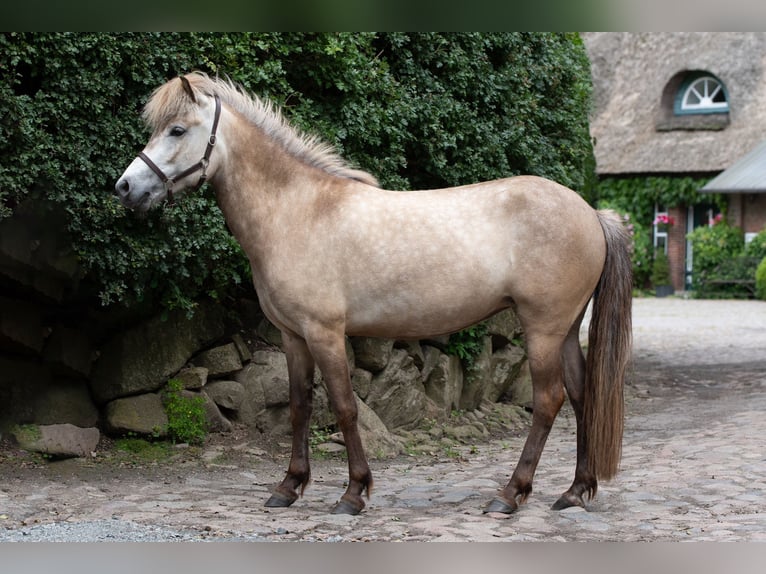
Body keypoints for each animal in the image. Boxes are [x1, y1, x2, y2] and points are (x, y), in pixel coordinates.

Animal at [112, 72, 632, 516]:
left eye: (177, 129)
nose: (125, 188)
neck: (297, 210)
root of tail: (590, 213)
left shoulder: (325, 333)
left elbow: (344, 409)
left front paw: (353, 493)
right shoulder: (292, 337)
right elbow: (299, 407)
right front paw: (288, 487)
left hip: (542, 328)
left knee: (548, 401)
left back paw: (510, 494)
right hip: (565, 329)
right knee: (581, 395)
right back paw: (574, 491)